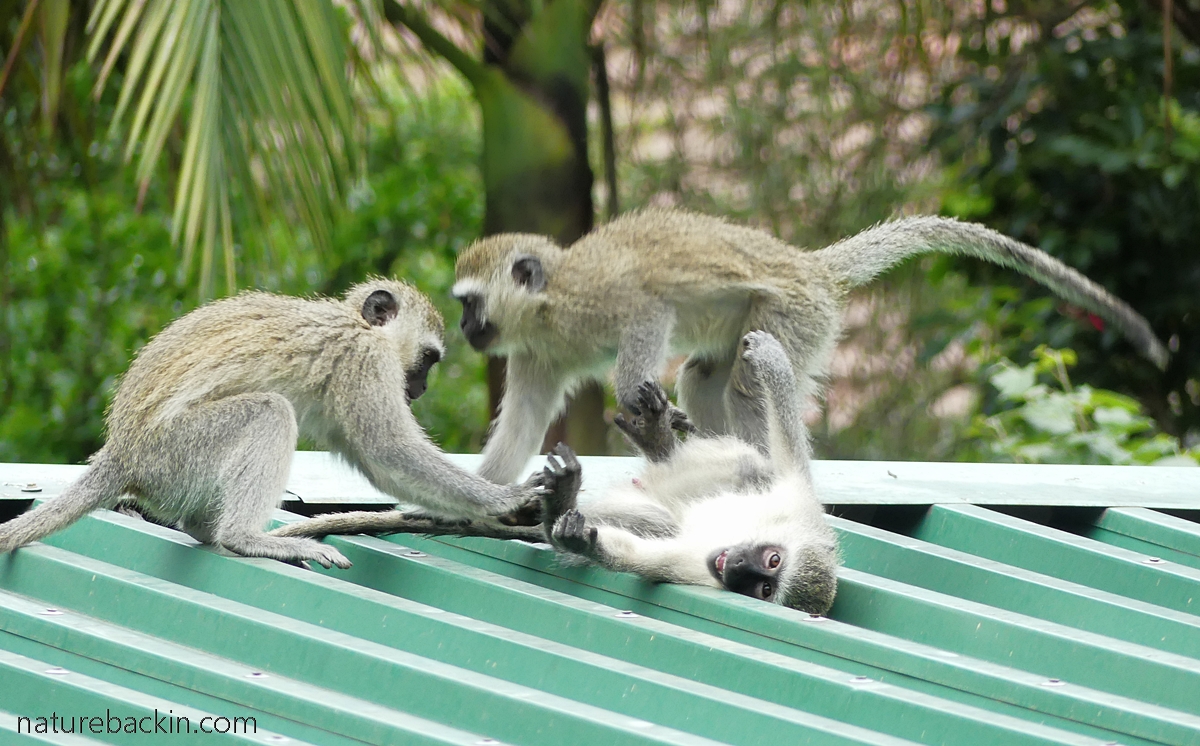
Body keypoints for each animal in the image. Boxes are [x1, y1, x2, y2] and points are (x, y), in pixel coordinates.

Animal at [0, 279, 544, 568]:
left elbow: (382, 467)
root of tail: (119, 452)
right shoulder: (364, 361)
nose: (423, 387)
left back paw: (207, 528)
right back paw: (243, 537)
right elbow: (390, 450)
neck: (354, 324)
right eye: (429, 359)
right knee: (268, 414)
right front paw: (509, 499)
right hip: (174, 451)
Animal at [452, 208, 1170, 483]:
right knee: (707, 377)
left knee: (745, 380)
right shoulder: (535, 354)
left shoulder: (602, 298)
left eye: (467, 303)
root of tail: (810, 268)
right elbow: (522, 424)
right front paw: (485, 490)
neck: (547, 308)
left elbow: (649, 312)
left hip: (796, 314)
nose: (462, 330)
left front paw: (635, 396)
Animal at [536, 331, 839, 614]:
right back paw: (657, 440)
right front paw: (771, 360)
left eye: (765, 590)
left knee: (660, 521)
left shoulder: (691, 568)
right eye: (773, 560)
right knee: (747, 465)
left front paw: (582, 543)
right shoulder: (798, 502)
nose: (738, 566)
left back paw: (559, 506)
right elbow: (787, 440)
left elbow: (636, 556)